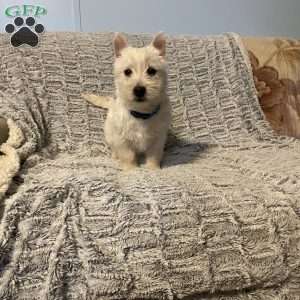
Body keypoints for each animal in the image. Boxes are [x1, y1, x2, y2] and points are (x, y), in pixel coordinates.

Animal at [82, 32, 171, 170]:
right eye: (127, 71)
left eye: (151, 71)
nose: (139, 90)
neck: (141, 113)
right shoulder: (121, 139)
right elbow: (128, 155)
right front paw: (131, 169)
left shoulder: (158, 138)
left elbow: (154, 155)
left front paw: (153, 169)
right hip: (109, 134)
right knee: (113, 147)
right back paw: (115, 156)